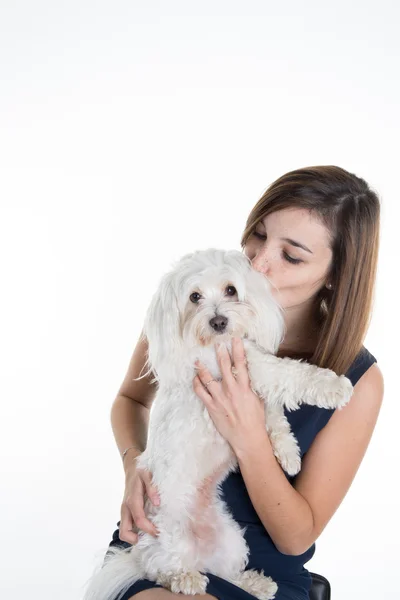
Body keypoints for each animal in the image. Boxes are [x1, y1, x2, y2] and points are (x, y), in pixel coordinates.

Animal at [83, 247, 350, 600]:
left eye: (231, 290)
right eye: (194, 296)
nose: (219, 321)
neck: (217, 345)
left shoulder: (249, 385)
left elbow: (273, 415)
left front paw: (287, 454)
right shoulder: (247, 368)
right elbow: (288, 373)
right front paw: (334, 387)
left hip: (231, 538)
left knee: (224, 571)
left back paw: (254, 583)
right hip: (166, 534)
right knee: (161, 566)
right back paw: (184, 578)